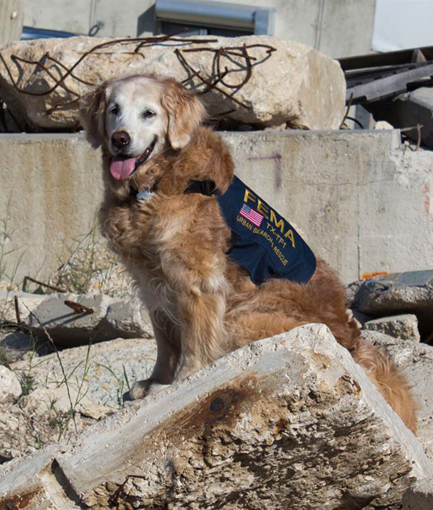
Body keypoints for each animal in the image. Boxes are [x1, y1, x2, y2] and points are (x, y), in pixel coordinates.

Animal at [79, 73, 416, 430]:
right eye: (114, 110)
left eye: (149, 113)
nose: (120, 139)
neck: (152, 185)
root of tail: (354, 343)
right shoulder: (150, 281)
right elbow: (165, 343)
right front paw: (154, 382)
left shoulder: (197, 282)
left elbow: (193, 342)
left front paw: (179, 384)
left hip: (243, 317)